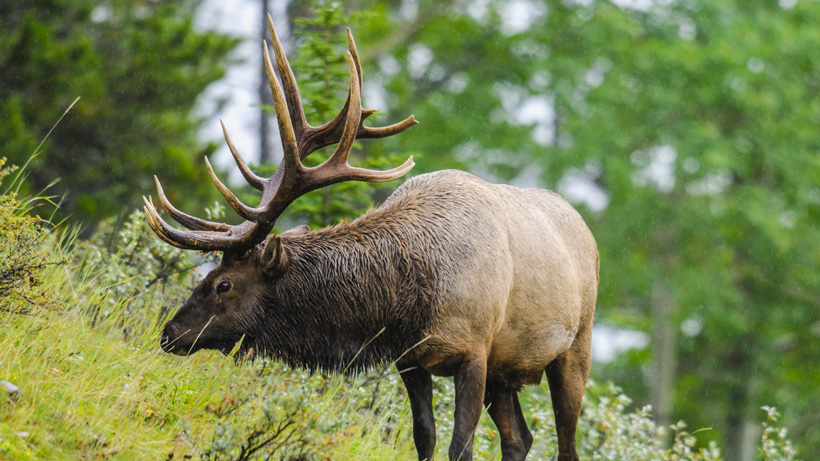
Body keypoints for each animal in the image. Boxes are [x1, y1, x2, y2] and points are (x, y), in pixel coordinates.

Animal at [144, 13, 600, 460]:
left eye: (224, 284)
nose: (169, 332)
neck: (408, 299)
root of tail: (586, 231)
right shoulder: (410, 358)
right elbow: (425, 436)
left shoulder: (474, 350)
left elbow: (461, 446)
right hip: (507, 370)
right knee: (520, 437)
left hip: (575, 347)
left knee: (566, 443)